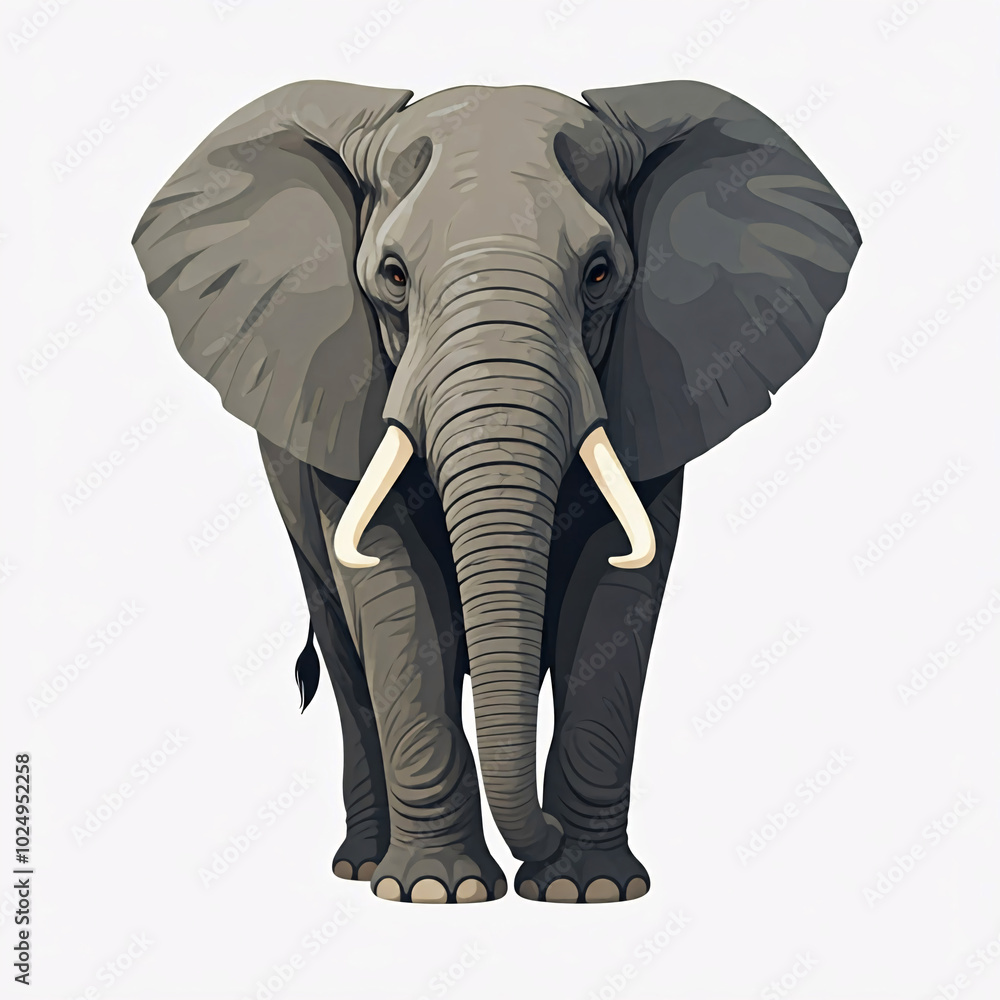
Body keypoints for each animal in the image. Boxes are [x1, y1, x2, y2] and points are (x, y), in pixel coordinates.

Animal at [132, 78, 861, 904]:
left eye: (600, 274)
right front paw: (433, 891)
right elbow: (391, 592)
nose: (535, 850)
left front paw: (587, 890)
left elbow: (615, 590)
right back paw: (360, 867)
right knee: (344, 649)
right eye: (392, 277)